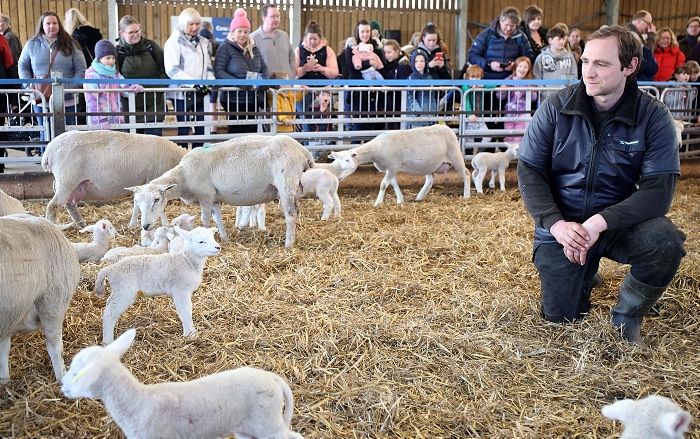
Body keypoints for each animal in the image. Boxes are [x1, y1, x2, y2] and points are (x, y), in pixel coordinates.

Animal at [42, 131, 187, 229]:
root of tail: (48, 151)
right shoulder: (153, 180)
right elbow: (159, 207)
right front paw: (165, 224)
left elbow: (137, 204)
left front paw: (132, 224)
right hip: (67, 181)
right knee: (52, 206)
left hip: (71, 185)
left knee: (69, 205)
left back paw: (81, 224)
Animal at [60, 328, 300, 439]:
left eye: (77, 373)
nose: (63, 386)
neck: (138, 401)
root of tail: (271, 376)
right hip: (248, 428)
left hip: (267, 422)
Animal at [328, 124, 470, 206]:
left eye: (347, 160)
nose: (338, 177)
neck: (377, 148)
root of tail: (449, 129)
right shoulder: (390, 168)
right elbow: (394, 183)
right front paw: (400, 200)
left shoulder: (392, 166)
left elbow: (383, 184)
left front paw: (378, 202)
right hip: (430, 164)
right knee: (430, 179)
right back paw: (419, 197)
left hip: (455, 155)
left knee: (466, 174)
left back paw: (466, 196)